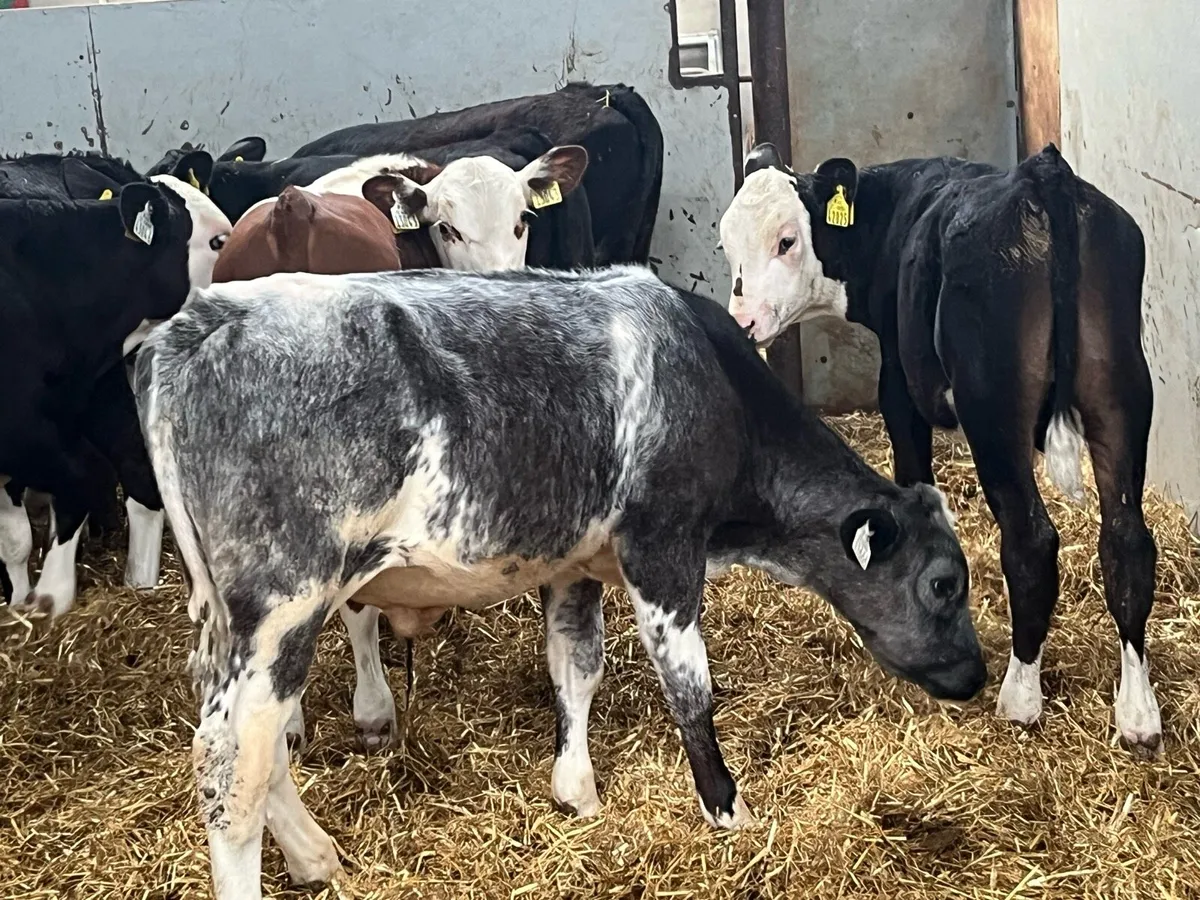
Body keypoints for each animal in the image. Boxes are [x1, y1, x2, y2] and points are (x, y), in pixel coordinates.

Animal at [134, 264, 985, 897]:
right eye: (945, 583)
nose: (976, 676)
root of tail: (200, 319)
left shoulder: (579, 564)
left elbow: (576, 668)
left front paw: (578, 791)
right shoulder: (662, 546)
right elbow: (690, 688)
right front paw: (728, 812)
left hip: (232, 618)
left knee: (255, 740)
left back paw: (315, 856)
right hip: (284, 599)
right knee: (228, 761)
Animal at [718, 142, 1161, 754]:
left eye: (786, 240)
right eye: (725, 242)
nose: (742, 323)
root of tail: (1043, 175)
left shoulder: (900, 388)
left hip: (994, 409)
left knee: (1032, 542)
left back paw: (1020, 698)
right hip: (1119, 391)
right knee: (1126, 542)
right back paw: (1138, 713)